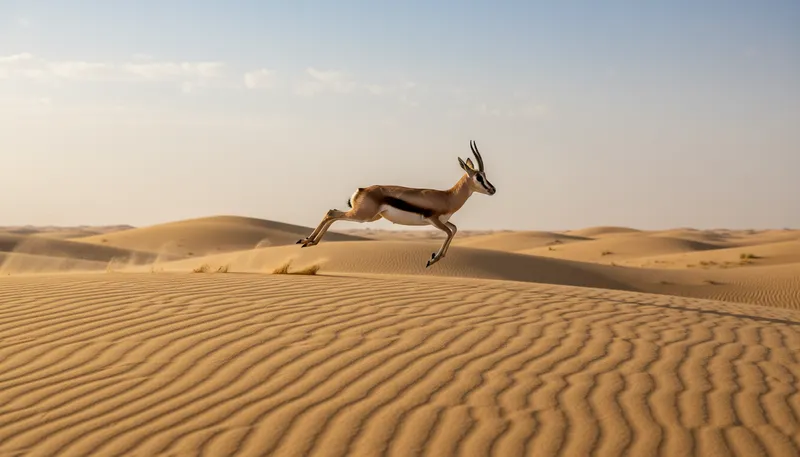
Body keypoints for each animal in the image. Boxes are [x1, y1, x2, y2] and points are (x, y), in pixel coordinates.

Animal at [296, 140, 497, 267]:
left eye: (484, 175)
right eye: (479, 177)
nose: (492, 190)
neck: (448, 196)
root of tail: (361, 190)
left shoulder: (444, 221)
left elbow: (454, 230)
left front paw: (436, 258)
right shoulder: (434, 220)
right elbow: (449, 232)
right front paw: (432, 259)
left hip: (370, 217)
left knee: (333, 214)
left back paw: (310, 242)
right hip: (362, 216)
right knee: (331, 213)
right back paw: (307, 241)